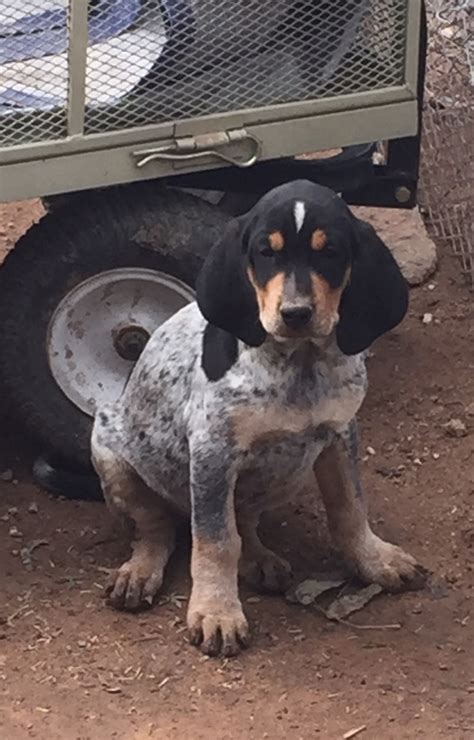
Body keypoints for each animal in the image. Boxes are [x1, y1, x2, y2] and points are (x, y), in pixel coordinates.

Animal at [90, 182, 424, 656]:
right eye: (266, 253)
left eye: (331, 252)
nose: (296, 313)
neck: (300, 365)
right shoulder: (212, 451)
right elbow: (215, 540)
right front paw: (217, 613)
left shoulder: (341, 434)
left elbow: (350, 507)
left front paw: (374, 560)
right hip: (110, 450)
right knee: (156, 527)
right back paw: (139, 571)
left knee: (243, 521)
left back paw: (259, 559)